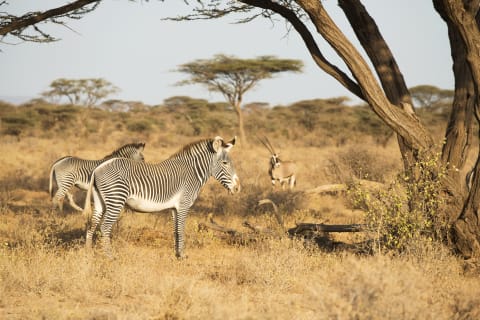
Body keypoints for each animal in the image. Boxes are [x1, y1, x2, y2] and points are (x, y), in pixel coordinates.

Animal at [83, 136, 240, 258]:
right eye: (225, 163)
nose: (238, 188)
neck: (192, 173)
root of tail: (98, 168)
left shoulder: (174, 208)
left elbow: (176, 230)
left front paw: (176, 255)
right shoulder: (183, 204)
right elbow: (181, 229)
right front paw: (183, 256)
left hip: (100, 201)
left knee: (92, 224)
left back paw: (88, 253)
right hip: (116, 199)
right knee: (104, 227)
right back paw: (110, 257)